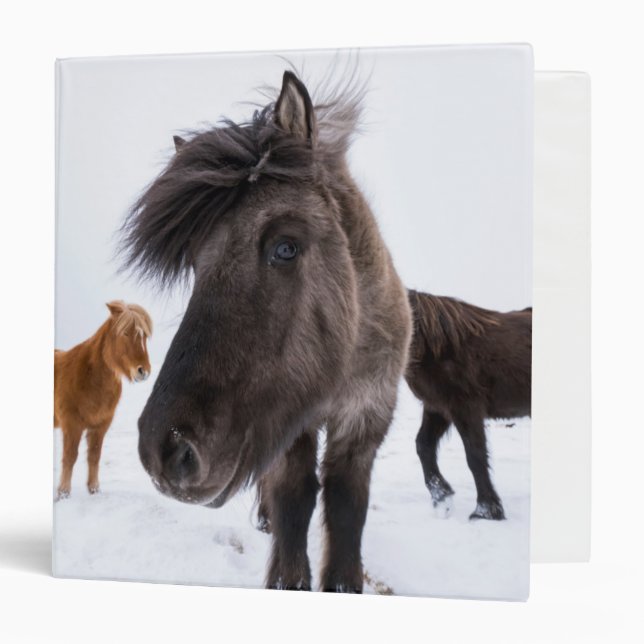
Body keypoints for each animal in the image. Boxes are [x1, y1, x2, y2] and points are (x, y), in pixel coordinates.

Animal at [53, 301, 152, 499]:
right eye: (125, 332)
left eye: (144, 335)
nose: (143, 371)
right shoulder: (71, 425)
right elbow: (70, 457)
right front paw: (63, 493)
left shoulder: (100, 426)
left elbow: (94, 455)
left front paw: (94, 490)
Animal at [120, 71, 412, 593]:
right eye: (195, 263)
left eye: (285, 247)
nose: (164, 450)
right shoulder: (288, 420)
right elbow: (293, 496)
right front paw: (286, 573)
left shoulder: (364, 420)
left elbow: (345, 505)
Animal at [405, 290, 531, 520]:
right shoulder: (437, 408)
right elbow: (423, 445)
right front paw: (442, 497)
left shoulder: (465, 408)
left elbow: (475, 455)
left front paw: (486, 510)